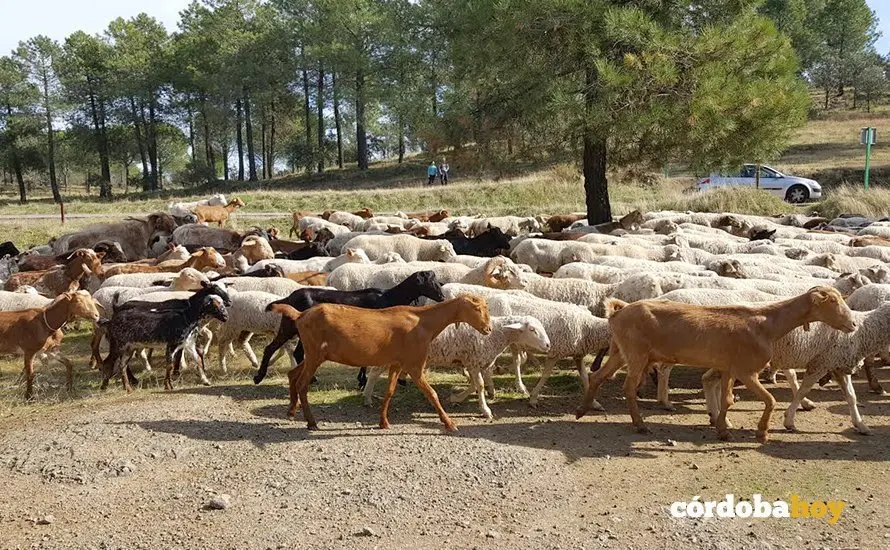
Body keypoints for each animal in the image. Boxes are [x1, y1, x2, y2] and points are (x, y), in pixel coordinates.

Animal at [271, 294, 492, 432]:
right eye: (476, 308)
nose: (488, 329)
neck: (423, 322)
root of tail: (301, 315)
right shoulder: (414, 365)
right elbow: (432, 394)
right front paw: (449, 423)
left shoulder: (397, 363)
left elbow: (389, 392)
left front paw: (383, 422)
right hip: (315, 353)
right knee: (302, 383)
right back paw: (311, 422)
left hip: (315, 355)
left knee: (293, 374)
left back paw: (292, 411)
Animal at [362, 315, 552, 418]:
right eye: (533, 330)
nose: (548, 345)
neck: (496, 334)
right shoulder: (474, 361)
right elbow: (480, 385)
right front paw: (485, 410)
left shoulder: (473, 362)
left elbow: (475, 385)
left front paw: (457, 398)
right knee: (373, 373)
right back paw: (367, 398)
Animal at [576, 287, 857, 442]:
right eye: (832, 301)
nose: (853, 324)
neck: (767, 325)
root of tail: (617, 312)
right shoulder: (746, 370)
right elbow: (770, 400)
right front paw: (761, 433)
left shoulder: (729, 368)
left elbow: (727, 400)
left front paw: (723, 429)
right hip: (636, 354)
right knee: (627, 388)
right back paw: (640, 425)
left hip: (620, 352)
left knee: (598, 375)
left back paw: (582, 409)